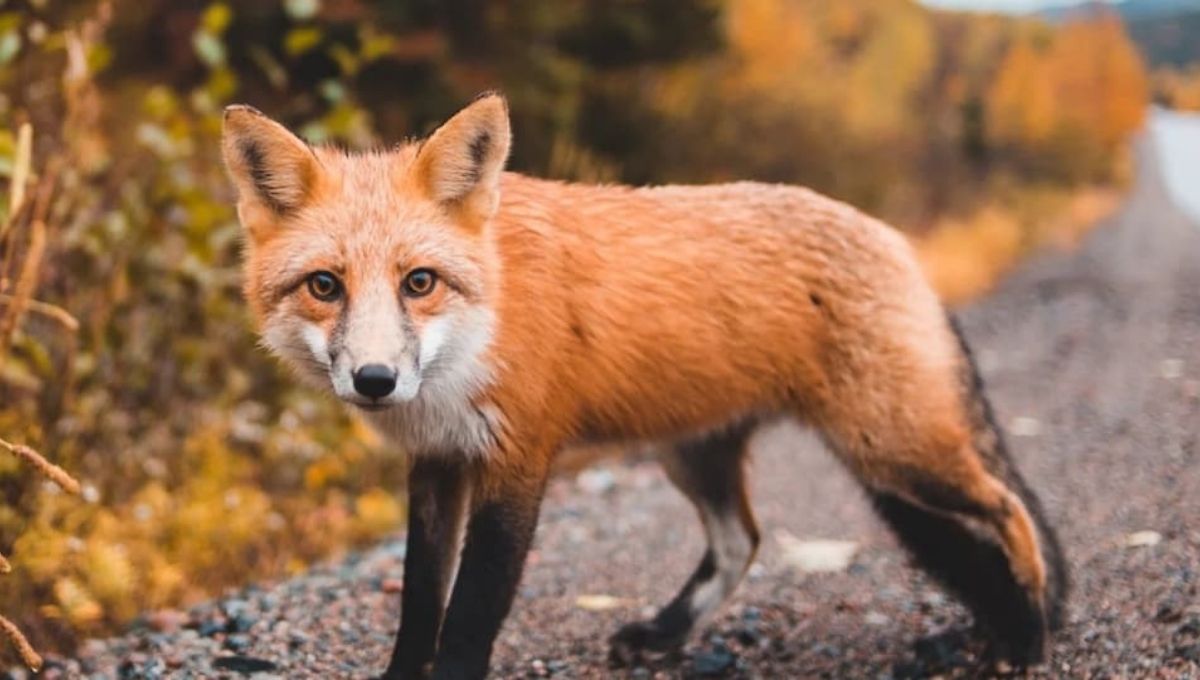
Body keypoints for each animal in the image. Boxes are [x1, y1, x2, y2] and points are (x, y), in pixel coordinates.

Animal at [221, 93, 1067, 679]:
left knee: (1010, 508)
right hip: (697, 455)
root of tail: (896, 240)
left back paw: (1027, 633)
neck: (482, 325)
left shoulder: (517, 459)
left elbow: (469, 612)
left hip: (891, 450)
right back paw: (666, 633)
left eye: (419, 282)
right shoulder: (435, 463)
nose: (375, 381)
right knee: (741, 542)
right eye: (325, 286)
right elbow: (420, 600)